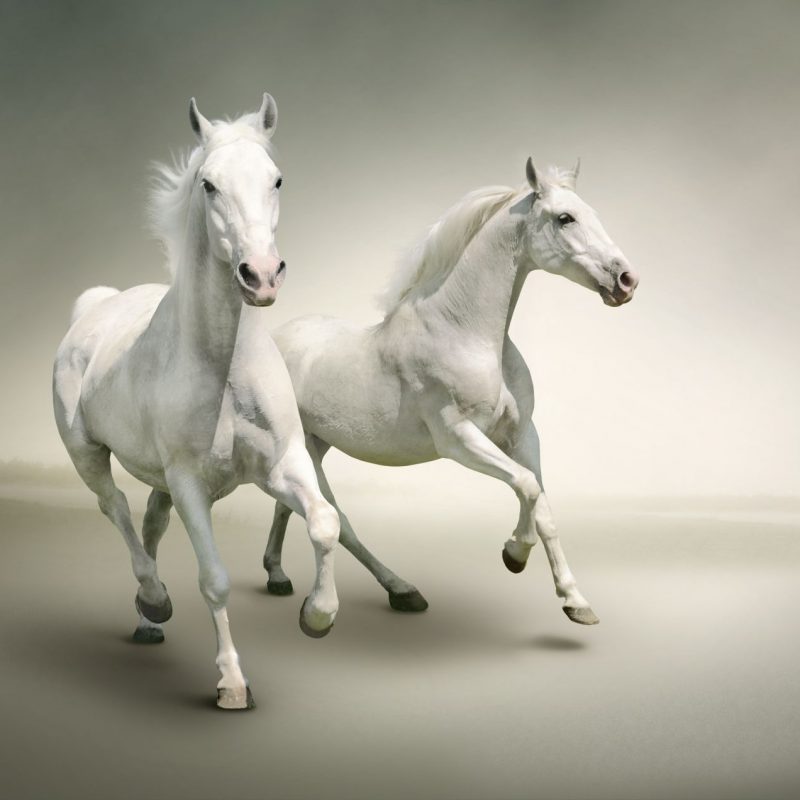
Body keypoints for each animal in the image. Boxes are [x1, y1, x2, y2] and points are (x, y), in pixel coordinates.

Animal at [52, 94, 340, 710]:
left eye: (276, 179)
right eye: (208, 184)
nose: (261, 275)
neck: (224, 367)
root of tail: (95, 307)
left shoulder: (281, 465)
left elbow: (325, 522)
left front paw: (317, 615)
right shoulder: (190, 484)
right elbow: (215, 579)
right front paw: (232, 683)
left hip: (158, 479)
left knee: (150, 523)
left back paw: (147, 619)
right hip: (87, 454)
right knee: (115, 508)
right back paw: (154, 600)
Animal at [262, 157, 639, 626]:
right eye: (565, 218)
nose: (626, 280)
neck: (465, 333)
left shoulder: (522, 435)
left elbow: (543, 506)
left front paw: (575, 601)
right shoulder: (458, 439)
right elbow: (527, 487)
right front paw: (514, 553)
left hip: (316, 443)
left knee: (288, 506)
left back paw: (278, 576)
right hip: (307, 450)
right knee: (337, 519)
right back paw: (397, 591)